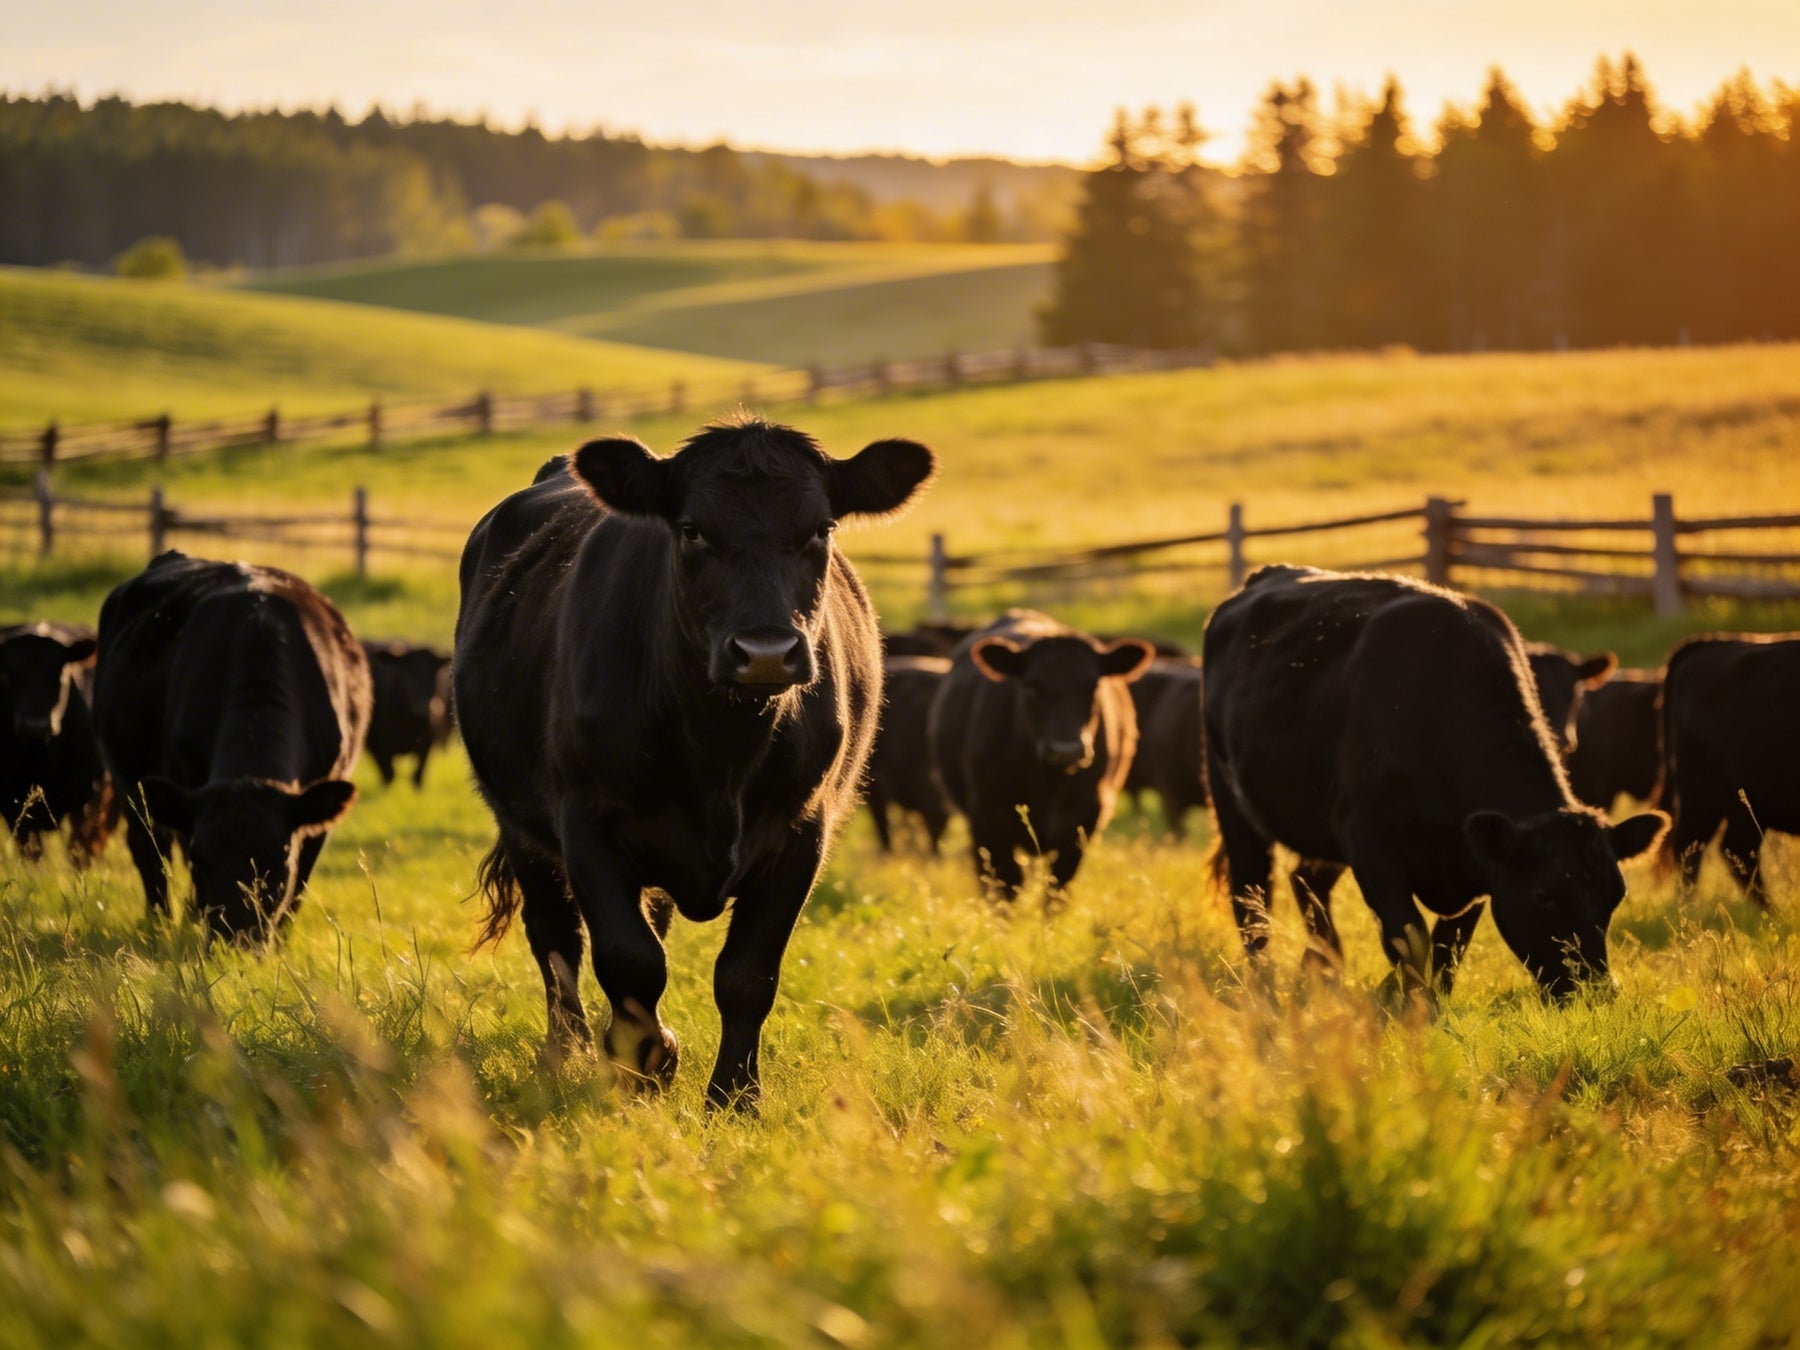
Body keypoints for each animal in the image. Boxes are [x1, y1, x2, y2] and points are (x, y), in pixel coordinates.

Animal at [0, 621, 113, 864]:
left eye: (59, 673)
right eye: (6, 675)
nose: (34, 726)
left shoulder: (90, 800)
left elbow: (80, 853)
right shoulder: (13, 806)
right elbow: (31, 853)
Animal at [92, 552, 370, 941]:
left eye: (279, 861)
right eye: (201, 859)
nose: (237, 940)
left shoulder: (316, 816)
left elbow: (297, 889)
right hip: (128, 781)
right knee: (150, 853)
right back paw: (160, 925)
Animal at [362, 639, 454, 788]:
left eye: (434, 675)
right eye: (406, 674)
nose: (423, 710)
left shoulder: (428, 742)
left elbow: (417, 776)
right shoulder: (378, 747)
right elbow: (389, 776)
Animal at [454, 417, 933, 1109]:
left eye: (821, 528)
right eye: (692, 530)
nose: (765, 651)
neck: (722, 749)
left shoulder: (802, 833)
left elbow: (746, 974)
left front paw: (734, 1097)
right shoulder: (585, 822)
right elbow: (629, 958)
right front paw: (643, 1063)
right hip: (519, 823)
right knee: (555, 936)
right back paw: (567, 1054)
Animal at [927, 610, 1153, 898]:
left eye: (1093, 686)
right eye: (1031, 686)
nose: (1066, 749)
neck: (1048, 782)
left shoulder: (1083, 821)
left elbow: (1057, 889)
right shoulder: (988, 819)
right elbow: (1007, 885)